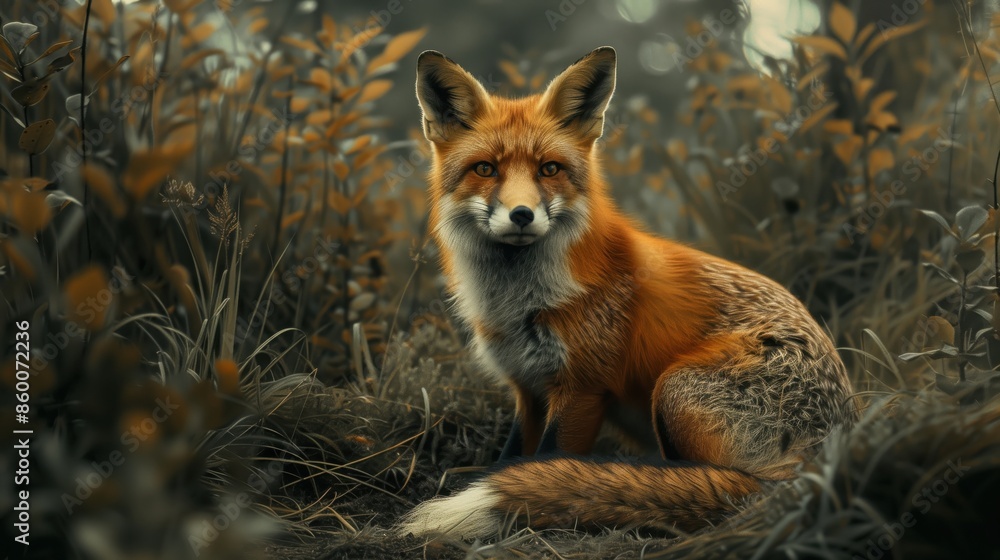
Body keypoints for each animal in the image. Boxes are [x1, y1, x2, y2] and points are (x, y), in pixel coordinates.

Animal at [399, 46, 857, 539]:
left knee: (719, 486)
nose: (522, 215)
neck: (520, 304)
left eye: (549, 169)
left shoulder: (582, 389)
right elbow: (512, 457)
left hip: (674, 390)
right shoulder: (528, 387)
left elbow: (543, 461)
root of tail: (832, 450)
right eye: (485, 169)